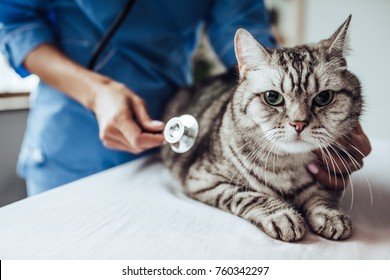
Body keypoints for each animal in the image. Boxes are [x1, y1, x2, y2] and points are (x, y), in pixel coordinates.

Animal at [160, 16, 362, 242]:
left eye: (324, 97)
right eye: (272, 97)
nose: (299, 123)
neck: (287, 166)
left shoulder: (325, 184)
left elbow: (321, 197)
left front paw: (331, 216)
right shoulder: (204, 180)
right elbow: (251, 195)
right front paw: (284, 216)